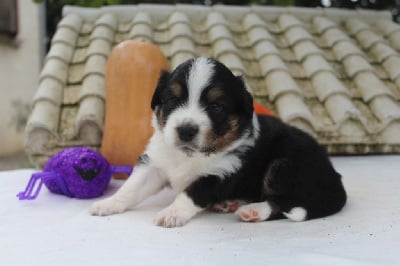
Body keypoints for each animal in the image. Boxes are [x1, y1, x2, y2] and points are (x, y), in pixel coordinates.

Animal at [89, 56, 346, 227]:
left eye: (216, 106)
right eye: (172, 100)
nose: (186, 130)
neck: (191, 155)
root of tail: (336, 182)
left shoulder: (222, 172)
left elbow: (191, 193)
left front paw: (171, 213)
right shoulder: (155, 162)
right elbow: (132, 187)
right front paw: (108, 203)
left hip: (285, 164)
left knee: (282, 203)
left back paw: (252, 210)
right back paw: (230, 204)